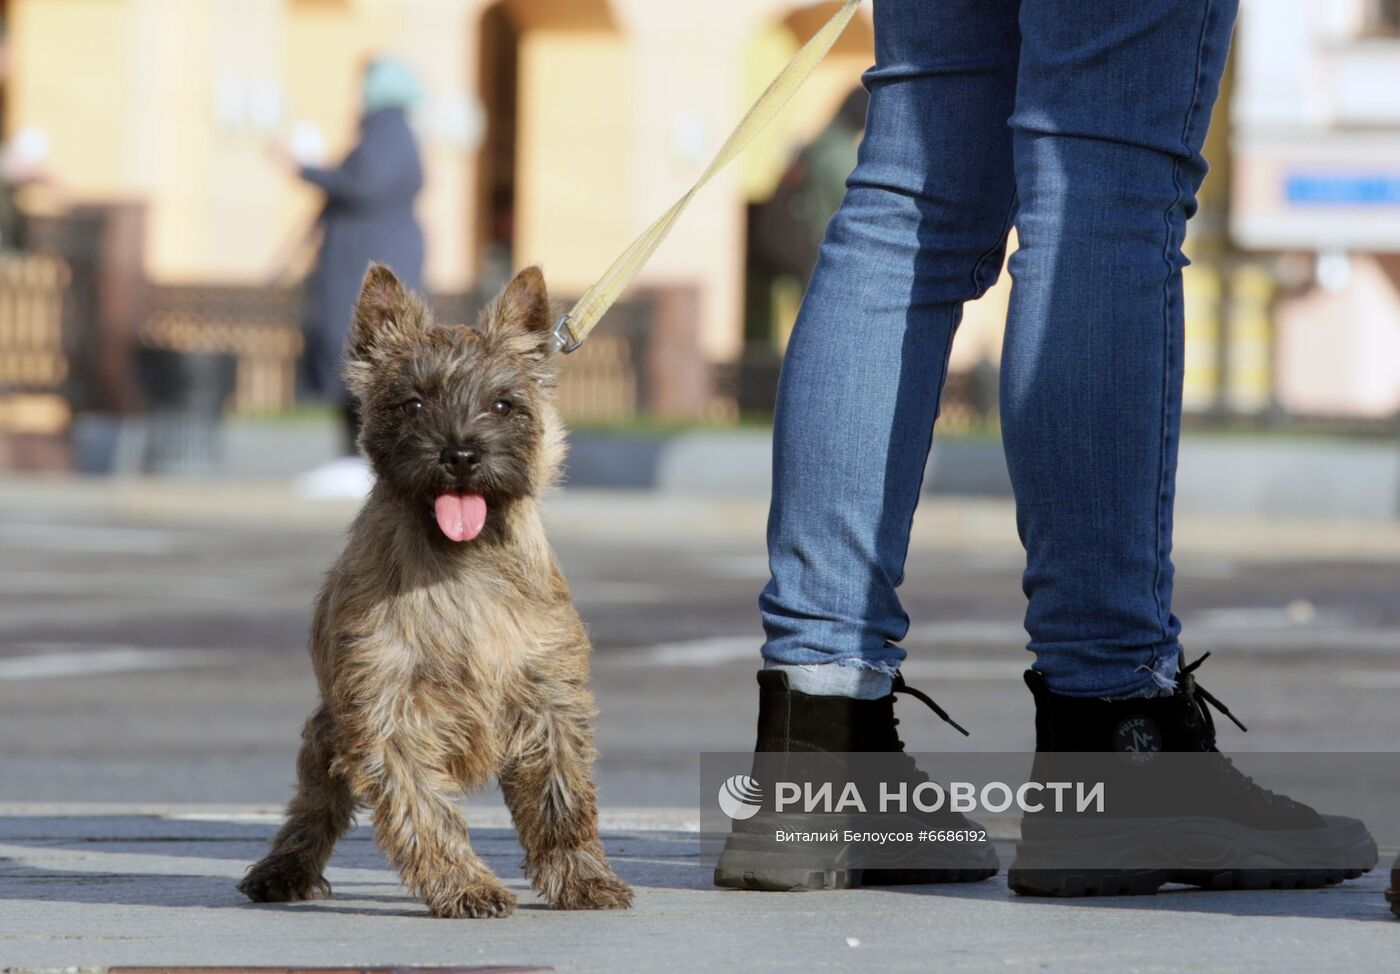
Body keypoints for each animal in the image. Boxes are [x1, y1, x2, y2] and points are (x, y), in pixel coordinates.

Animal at [240, 263, 635, 918]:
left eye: (504, 404)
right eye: (413, 402)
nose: (462, 453)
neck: (460, 566)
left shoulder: (549, 700)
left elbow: (561, 800)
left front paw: (583, 879)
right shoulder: (387, 712)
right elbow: (422, 809)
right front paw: (466, 884)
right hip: (328, 732)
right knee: (313, 807)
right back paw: (281, 871)